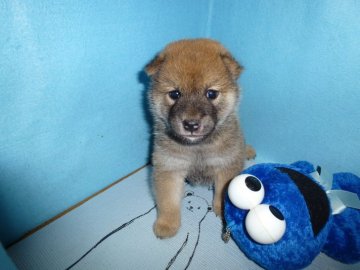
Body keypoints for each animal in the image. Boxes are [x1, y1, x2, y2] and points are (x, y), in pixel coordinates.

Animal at [145, 38, 255, 238]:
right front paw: (167, 224)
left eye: (211, 93)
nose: (190, 124)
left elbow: (222, 193)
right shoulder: (170, 167)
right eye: (175, 94)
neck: (198, 147)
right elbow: (167, 201)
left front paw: (222, 210)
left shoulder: (226, 165)